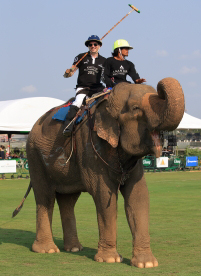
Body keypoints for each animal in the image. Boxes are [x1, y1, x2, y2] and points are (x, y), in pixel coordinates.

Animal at [13, 77, 184, 268]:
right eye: (135, 108)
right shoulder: (90, 146)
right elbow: (103, 194)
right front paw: (110, 259)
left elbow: (138, 196)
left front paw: (146, 263)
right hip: (35, 155)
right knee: (45, 197)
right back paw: (47, 250)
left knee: (67, 200)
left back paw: (74, 248)